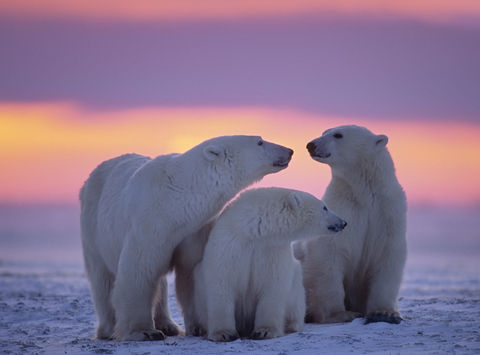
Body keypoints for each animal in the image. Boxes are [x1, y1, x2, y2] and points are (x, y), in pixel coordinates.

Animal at [79, 135, 294, 340]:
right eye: (260, 141)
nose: (289, 150)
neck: (176, 200)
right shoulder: (149, 224)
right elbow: (139, 271)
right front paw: (144, 332)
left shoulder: (194, 229)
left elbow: (190, 272)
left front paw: (199, 327)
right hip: (93, 226)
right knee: (102, 279)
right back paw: (108, 329)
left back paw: (168, 325)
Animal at [189, 188, 346, 344]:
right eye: (324, 207)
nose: (343, 222)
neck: (254, 232)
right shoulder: (229, 245)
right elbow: (222, 283)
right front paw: (223, 334)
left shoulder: (272, 250)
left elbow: (272, 287)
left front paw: (264, 331)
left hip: (296, 286)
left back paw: (291, 325)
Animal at [298, 125, 406, 326]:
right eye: (324, 132)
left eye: (338, 135)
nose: (311, 145)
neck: (364, 194)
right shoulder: (343, 209)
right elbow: (330, 253)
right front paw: (340, 314)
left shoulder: (388, 213)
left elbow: (387, 256)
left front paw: (385, 313)